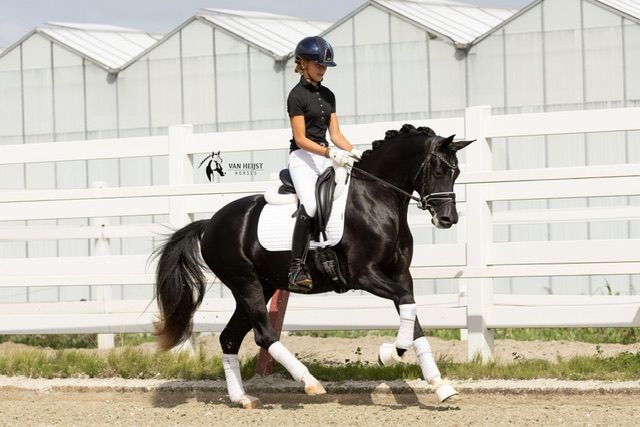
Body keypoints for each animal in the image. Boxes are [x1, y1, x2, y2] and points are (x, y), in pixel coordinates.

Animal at [153, 124, 474, 408]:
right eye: (438, 170)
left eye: (456, 172)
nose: (448, 219)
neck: (376, 198)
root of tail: (210, 224)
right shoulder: (364, 275)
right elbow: (407, 304)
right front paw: (390, 354)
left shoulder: (401, 275)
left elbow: (412, 313)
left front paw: (440, 385)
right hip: (246, 283)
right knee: (264, 334)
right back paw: (310, 382)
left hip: (262, 285)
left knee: (230, 338)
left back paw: (242, 398)